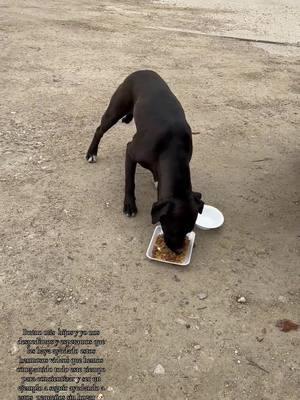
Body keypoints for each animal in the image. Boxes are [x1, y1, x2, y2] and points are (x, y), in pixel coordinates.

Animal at [86, 70, 204, 253]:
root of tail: (142, 70)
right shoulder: (131, 152)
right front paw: (129, 206)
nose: (178, 251)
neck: (172, 148)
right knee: (100, 129)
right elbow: (130, 182)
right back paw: (91, 153)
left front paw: (156, 181)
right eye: (173, 229)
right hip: (116, 109)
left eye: (189, 229)